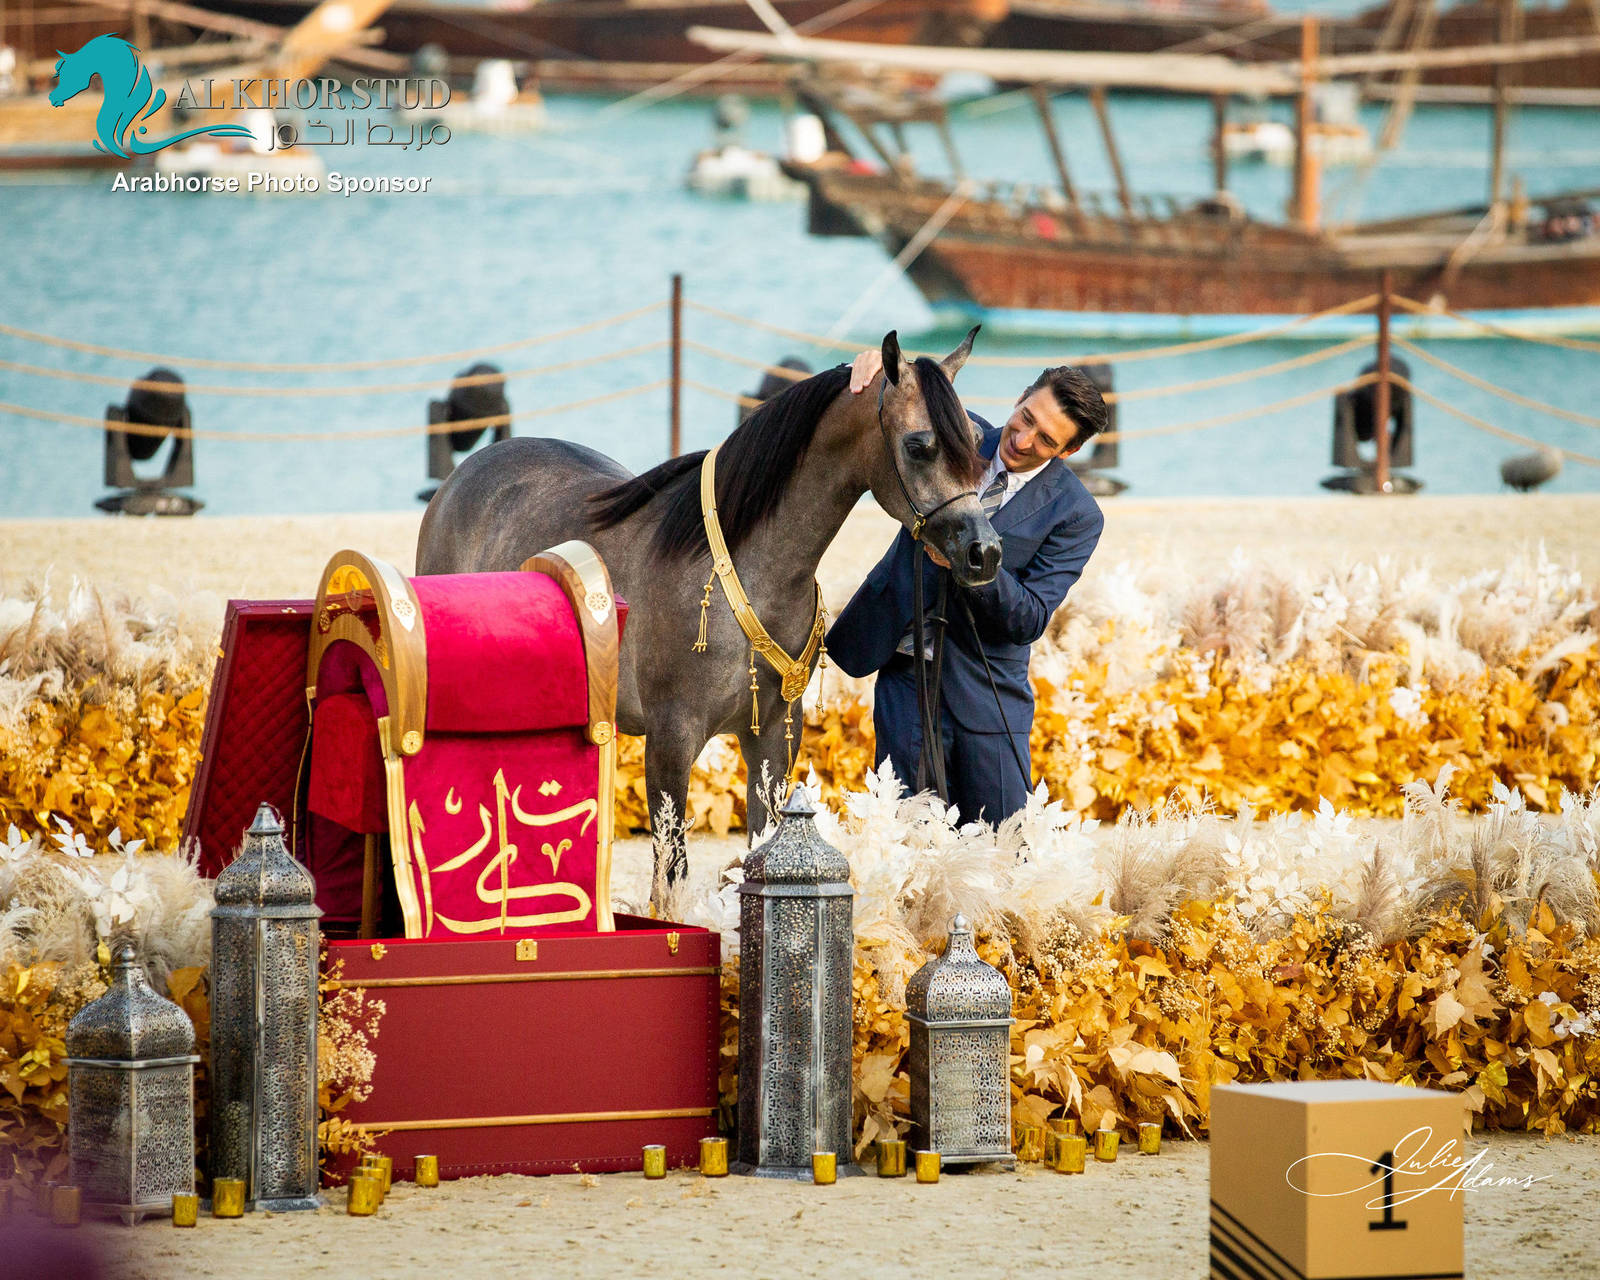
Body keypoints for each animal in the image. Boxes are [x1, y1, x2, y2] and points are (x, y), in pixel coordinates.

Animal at [417, 330, 1002, 890]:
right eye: (919, 445)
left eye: (976, 442)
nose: (985, 552)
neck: (742, 569)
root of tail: (459, 478)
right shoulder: (670, 741)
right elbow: (670, 876)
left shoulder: (773, 737)